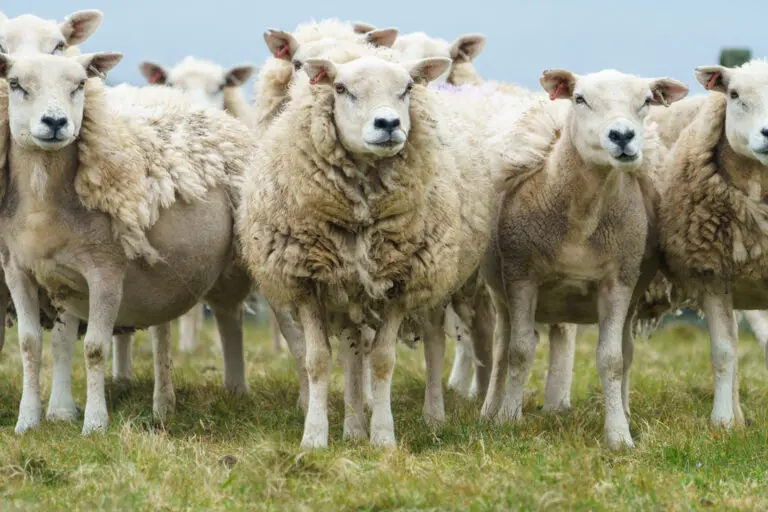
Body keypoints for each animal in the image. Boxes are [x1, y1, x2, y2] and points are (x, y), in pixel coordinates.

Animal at [0, 52, 254, 434]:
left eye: (80, 85)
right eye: (15, 84)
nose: (55, 122)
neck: (43, 205)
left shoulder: (105, 271)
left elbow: (94, 348)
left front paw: (94, 425)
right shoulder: (19, 271)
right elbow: (30, 345)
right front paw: (27, 422)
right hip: (176, 272)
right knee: (223, 317)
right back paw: (219, 394)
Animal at [237, 51, 499, 447]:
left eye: (407, 87)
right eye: (341, 88)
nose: (388, 123)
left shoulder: (401, 282)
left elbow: (383, 360)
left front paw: (383, 437)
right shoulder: (307, 280)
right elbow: (318, 360)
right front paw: (315, 437)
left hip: (437, 276)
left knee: (435, 342)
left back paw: (432, 416)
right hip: (352, 288)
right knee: (352, 349)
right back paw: (353, 425)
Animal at [481, 68, 689, 449]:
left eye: (646, 101)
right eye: (580, 99)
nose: (622, 136)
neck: (583, 214)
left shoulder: (618, 282)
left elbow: (612, 360)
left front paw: (619, 434)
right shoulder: (520, 276)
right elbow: (520, 351)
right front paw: (507, 420)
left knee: (622, 349)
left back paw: (616, 408)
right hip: (500, 293)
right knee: (502, 347)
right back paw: (490, 410)